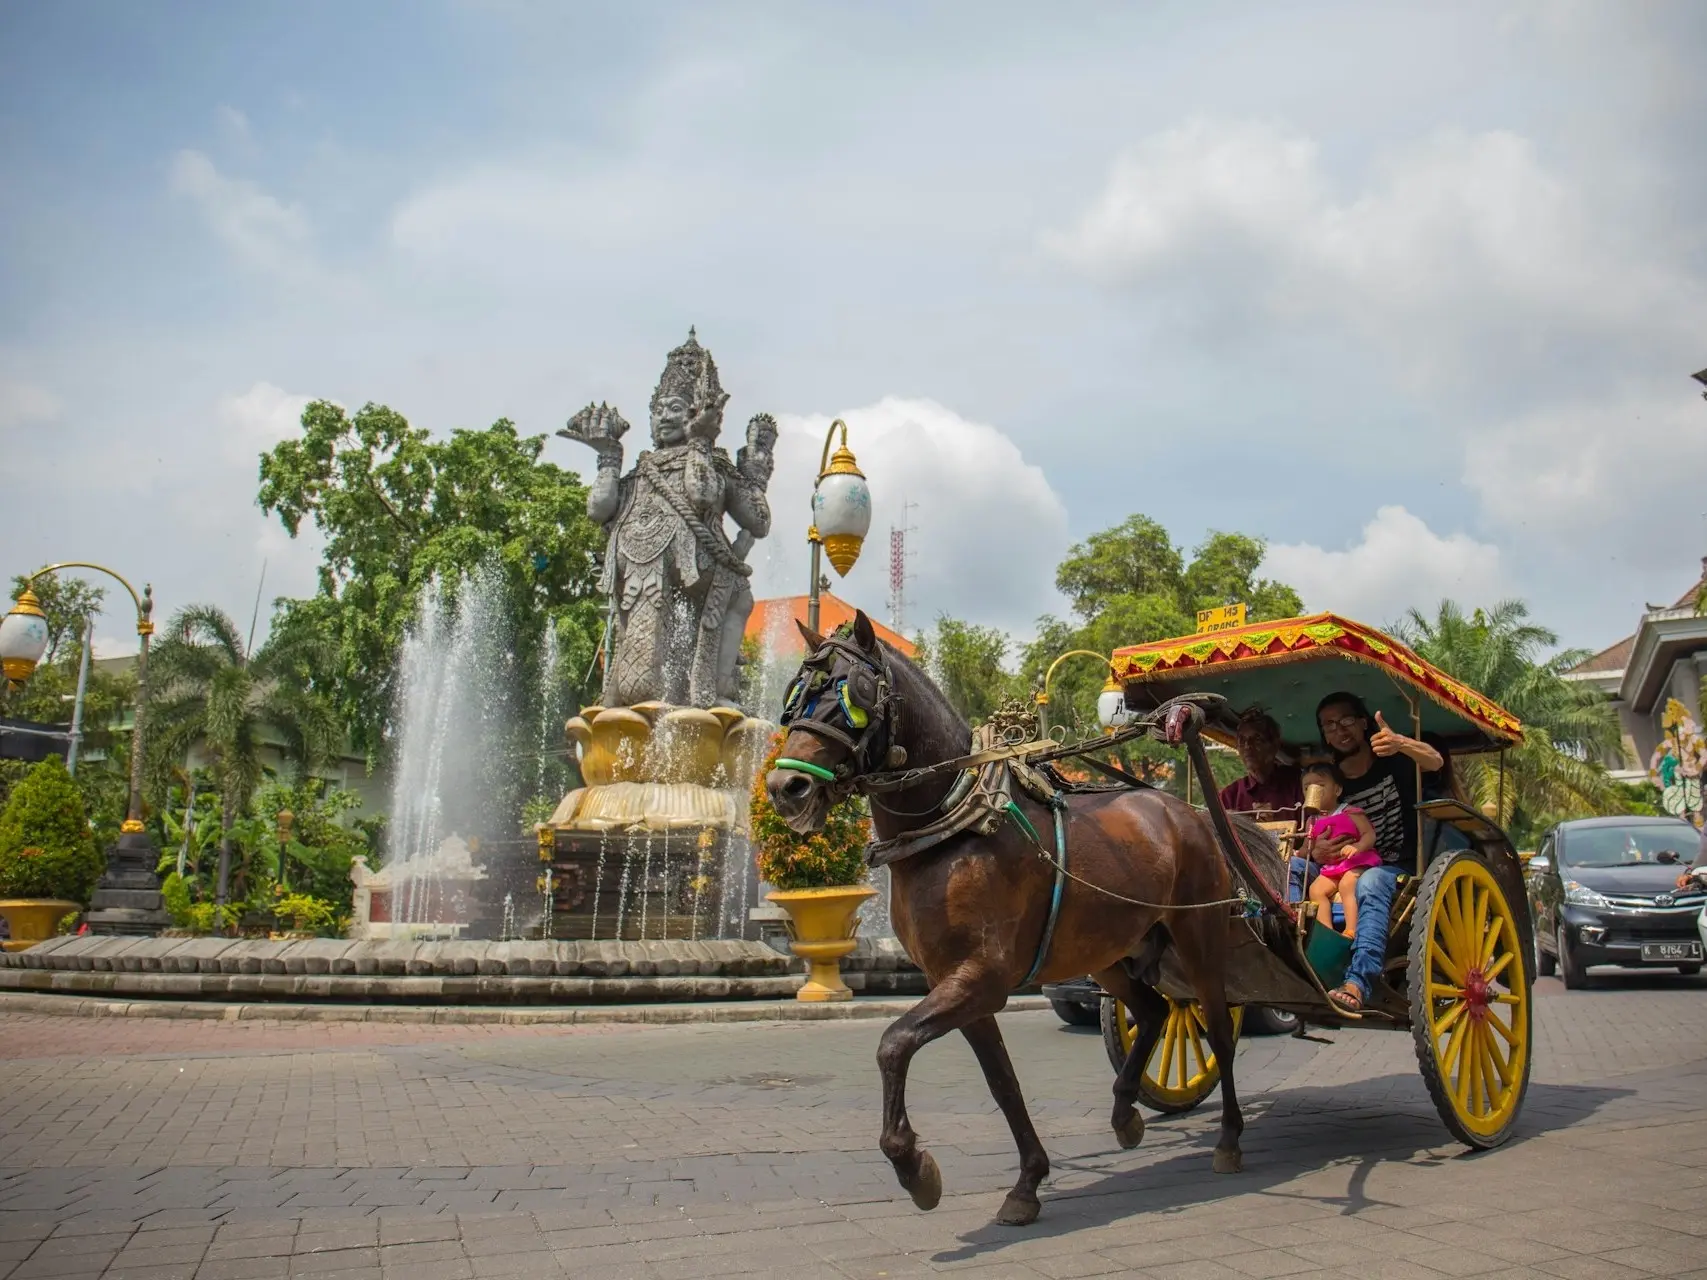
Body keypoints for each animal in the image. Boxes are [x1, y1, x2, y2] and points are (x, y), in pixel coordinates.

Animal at [768, 614, 1249, 1235]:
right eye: (794, 696)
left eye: (853, 694)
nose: (785, 789)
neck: (953, 826)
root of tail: (1183, 810)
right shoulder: (956, 983)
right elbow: (1002, 1083)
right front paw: (1027, 1182)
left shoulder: (980, 978)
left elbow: (893, 1044)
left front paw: (914, 1168)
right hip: (1106, 952)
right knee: (1153, 1010)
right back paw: (1125, 1111)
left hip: (1199, 934)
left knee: (1216, 1028)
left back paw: (1229, 1139)